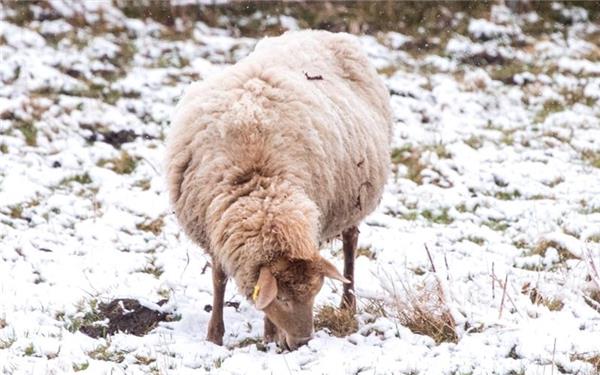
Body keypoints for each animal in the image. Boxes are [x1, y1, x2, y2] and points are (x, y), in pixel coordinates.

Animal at [166, 28, 392, 350]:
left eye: (315, 293)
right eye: (282, 299)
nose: (303, 342)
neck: (258, 180)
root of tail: (323, 32)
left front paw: (270, 335)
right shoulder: (215, 228)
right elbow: (218, 280)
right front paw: (214, 335)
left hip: (355, 195)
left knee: (351, 242)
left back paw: (348, 305)